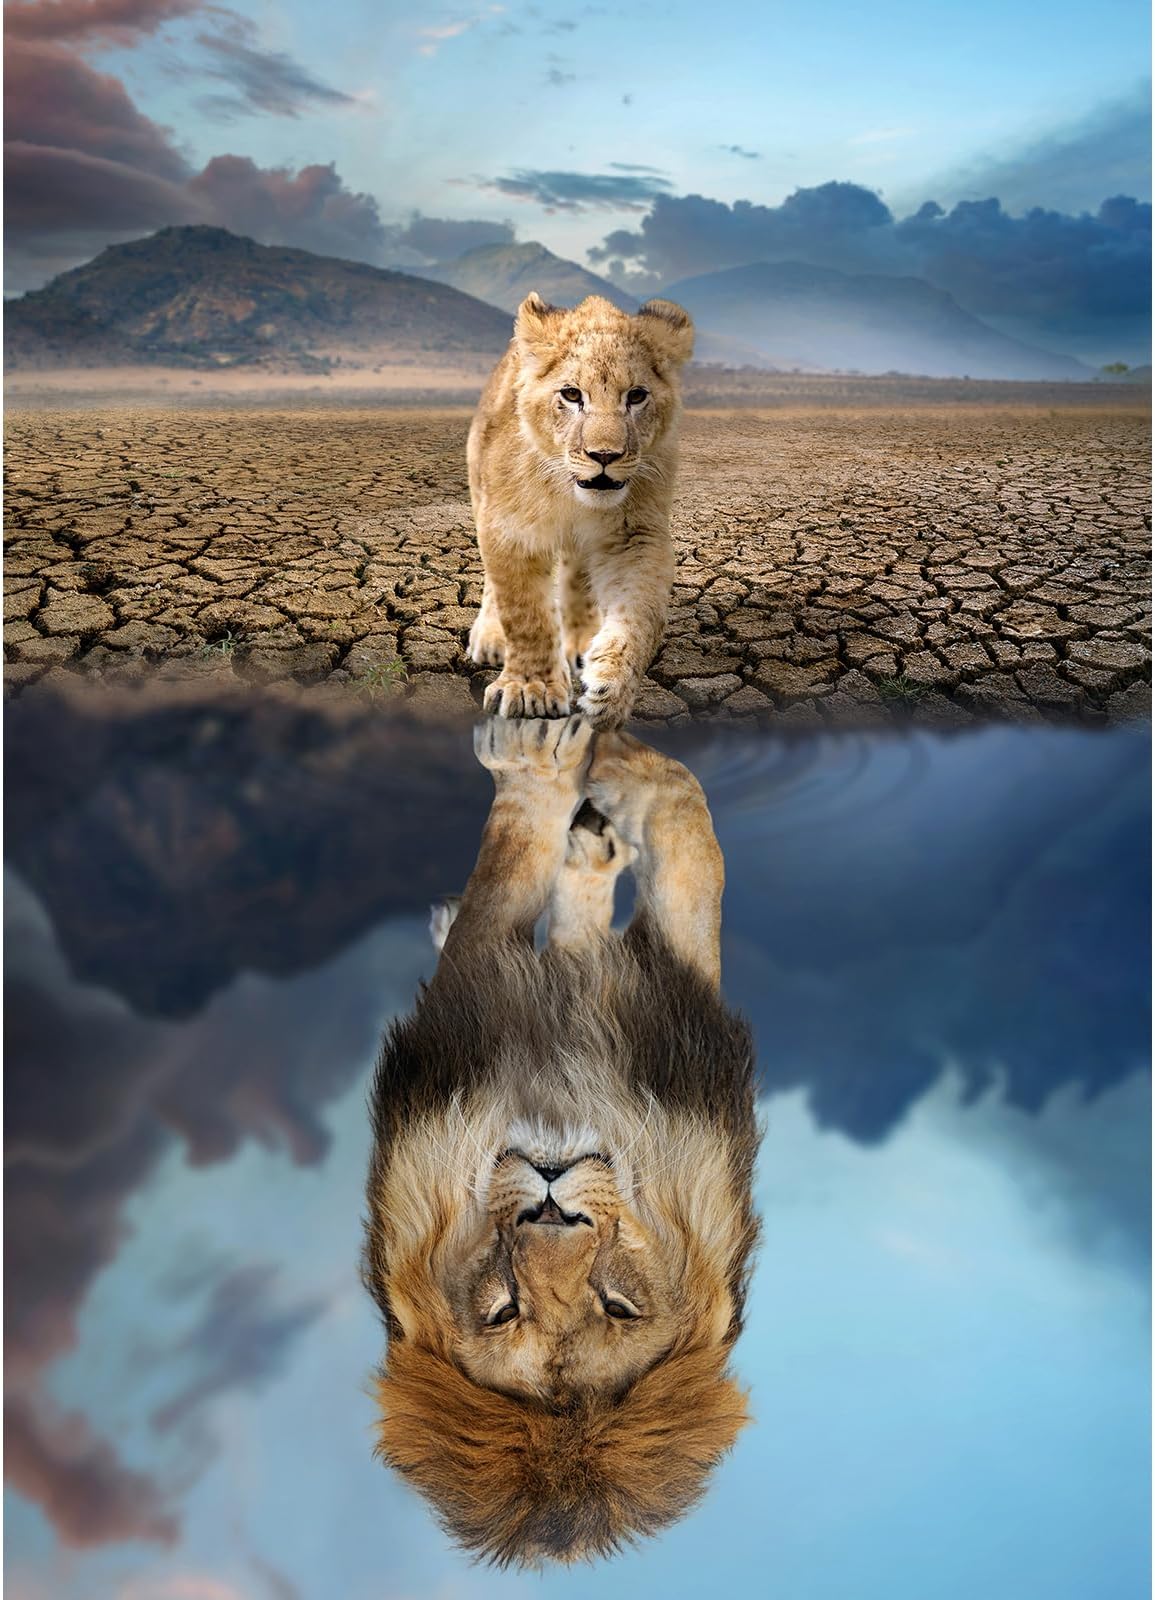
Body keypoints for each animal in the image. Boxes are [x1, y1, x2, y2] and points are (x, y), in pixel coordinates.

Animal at [363, 717, 760, 1567]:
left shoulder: (671, 1016)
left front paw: (577, 769)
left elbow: (682, 846)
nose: (550, 1207)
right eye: (504, 1310)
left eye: (616, 1305)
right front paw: (574, 769)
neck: (558, 1096)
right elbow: (677, 842)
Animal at [466, 292, 694, 728]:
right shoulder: (510, 529)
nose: (604, 456)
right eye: (572, 395)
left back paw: (583, 642)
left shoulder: (634, 535)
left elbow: (641, 615)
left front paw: (611, 687)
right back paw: (490, 637)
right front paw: (531, 689)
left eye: (636, 395)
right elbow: (525, 614)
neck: (571, 496)